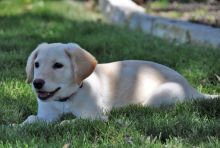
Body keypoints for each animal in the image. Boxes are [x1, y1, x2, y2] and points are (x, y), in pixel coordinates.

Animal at [22, 42, 218, 123]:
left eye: (58, 65)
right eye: (36, 64)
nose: (37, 83)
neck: (66, 99)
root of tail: (192, 89)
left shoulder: (96, 116)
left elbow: (72, 122)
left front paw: (64, 124)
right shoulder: (46, 116)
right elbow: (30, 120)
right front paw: (17, 127)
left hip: (159, 97)